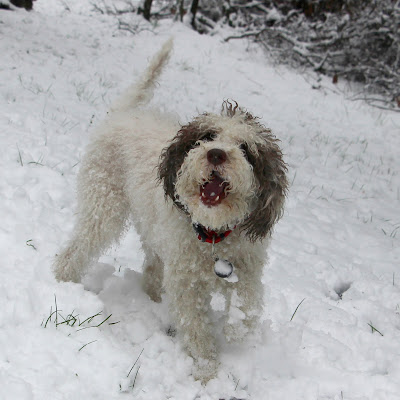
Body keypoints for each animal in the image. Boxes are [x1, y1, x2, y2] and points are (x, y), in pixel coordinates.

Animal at [54, 39, 290, 382]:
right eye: (207, 137)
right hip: (103, 205)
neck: (213, 236)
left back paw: (153, 299)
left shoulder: (247, 268)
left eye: (246, 149)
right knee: (76, 249)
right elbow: (197, 329)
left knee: (152, 269)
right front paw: (207, 372)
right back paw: (62, 283)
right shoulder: (186, 284)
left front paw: (234, 332)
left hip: (152, 231)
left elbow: (249, 308)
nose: (216, 154)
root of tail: (124, 114)